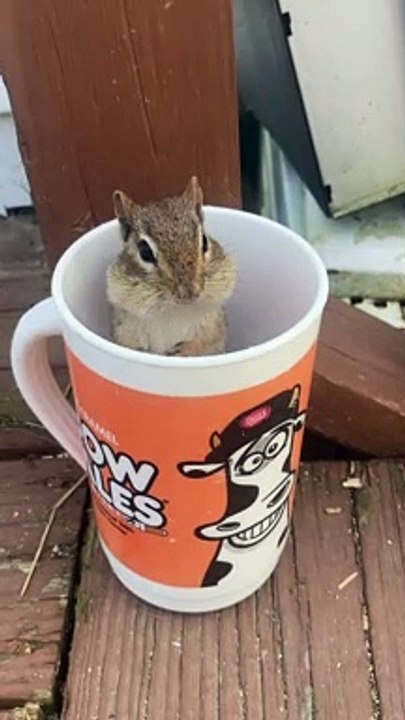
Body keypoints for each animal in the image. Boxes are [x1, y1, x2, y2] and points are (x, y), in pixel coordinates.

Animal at [106, 177, 236, 356]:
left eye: (204, 241)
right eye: (144, 251)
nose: (189, 294)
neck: (172, 311)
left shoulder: (213, 325)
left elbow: (204, 341)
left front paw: (183, 351)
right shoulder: (126, 327)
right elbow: (130, 346)